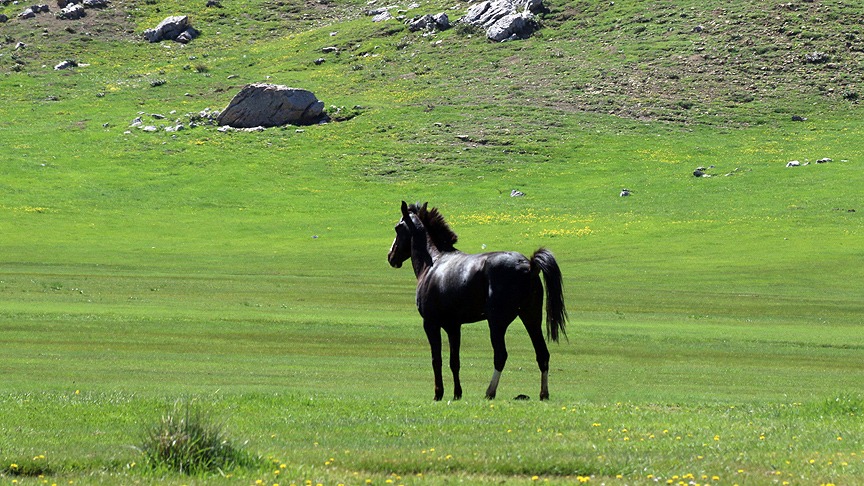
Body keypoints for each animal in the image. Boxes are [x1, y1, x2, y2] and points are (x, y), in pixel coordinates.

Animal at [386, 202, 568, 402]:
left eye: (397, 227)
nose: (390, 256)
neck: (433, 262)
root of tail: (529, 265)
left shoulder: (430, 324)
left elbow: (437, 360)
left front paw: (438, 393)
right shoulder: (453, 326)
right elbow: (454, 361)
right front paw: (457, 393)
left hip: (497, 322)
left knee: (501, 355)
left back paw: (490, 392)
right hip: (531, 318)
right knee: (542, 354)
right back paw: (543, 394)